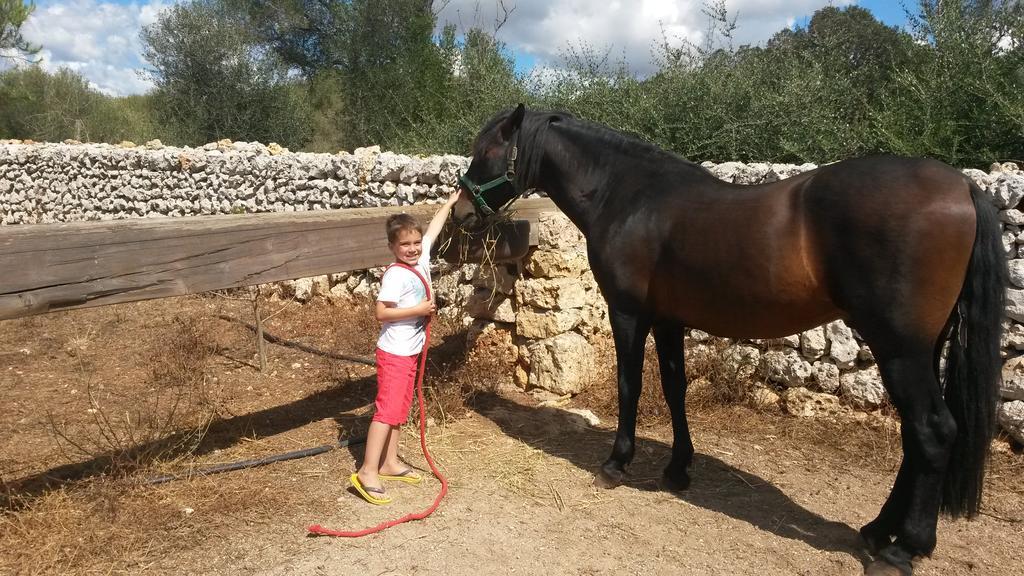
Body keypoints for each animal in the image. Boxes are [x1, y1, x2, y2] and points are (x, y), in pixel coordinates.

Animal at [456, 104, 1007, 573]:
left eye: (486, 151)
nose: (460, 212)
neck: (628, 196)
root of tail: (962, 187)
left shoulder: (629, 313)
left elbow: (630, 386)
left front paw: (616, 463)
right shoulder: (668, 319)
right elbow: (674, 388)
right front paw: (678, 470)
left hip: (899, 349)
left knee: (933, 432)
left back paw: (903, 549)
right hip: (918, 350)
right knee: (917, 438)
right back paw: (877, 531)